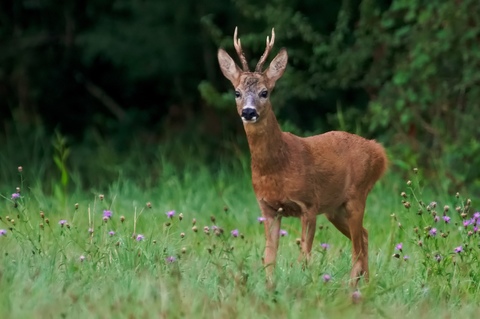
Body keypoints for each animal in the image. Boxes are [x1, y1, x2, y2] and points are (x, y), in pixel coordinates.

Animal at [217, 28, 386, 288]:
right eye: (237, 92)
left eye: (265, 92)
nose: (248, 112)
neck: (278, 165)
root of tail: (380, 153)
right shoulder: (268, 208)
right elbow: (269, 256)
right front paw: (270, 288)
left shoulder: (308, 204)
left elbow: (304, 256)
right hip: (335, 208)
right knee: (365, 237)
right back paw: (365, 286)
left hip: (357, 195)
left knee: (357, 248)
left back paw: (353, 288)